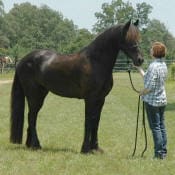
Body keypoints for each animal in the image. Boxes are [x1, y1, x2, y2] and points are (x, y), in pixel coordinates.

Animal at [9, 20, 144, 153]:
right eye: (128, 37)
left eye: (138, 38)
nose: (140, 60)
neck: (95, 62)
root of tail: (22, 61)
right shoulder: (90, 99)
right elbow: (88, 121)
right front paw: (85, 149)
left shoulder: (101, 99)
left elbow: (96, 122)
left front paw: (95, 148)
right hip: (34, 95)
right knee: (31, 117)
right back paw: (36, 145)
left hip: (41, 93)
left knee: (32, 117)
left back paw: (30, 144)